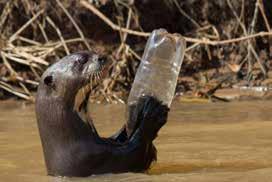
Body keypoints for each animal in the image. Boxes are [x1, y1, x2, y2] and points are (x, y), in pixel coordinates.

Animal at [35, 50, 168, 176]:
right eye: (81, 60)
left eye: (91, 51)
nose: (102, 57)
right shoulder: (95, 158)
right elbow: (136, 152)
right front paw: (152, 112)